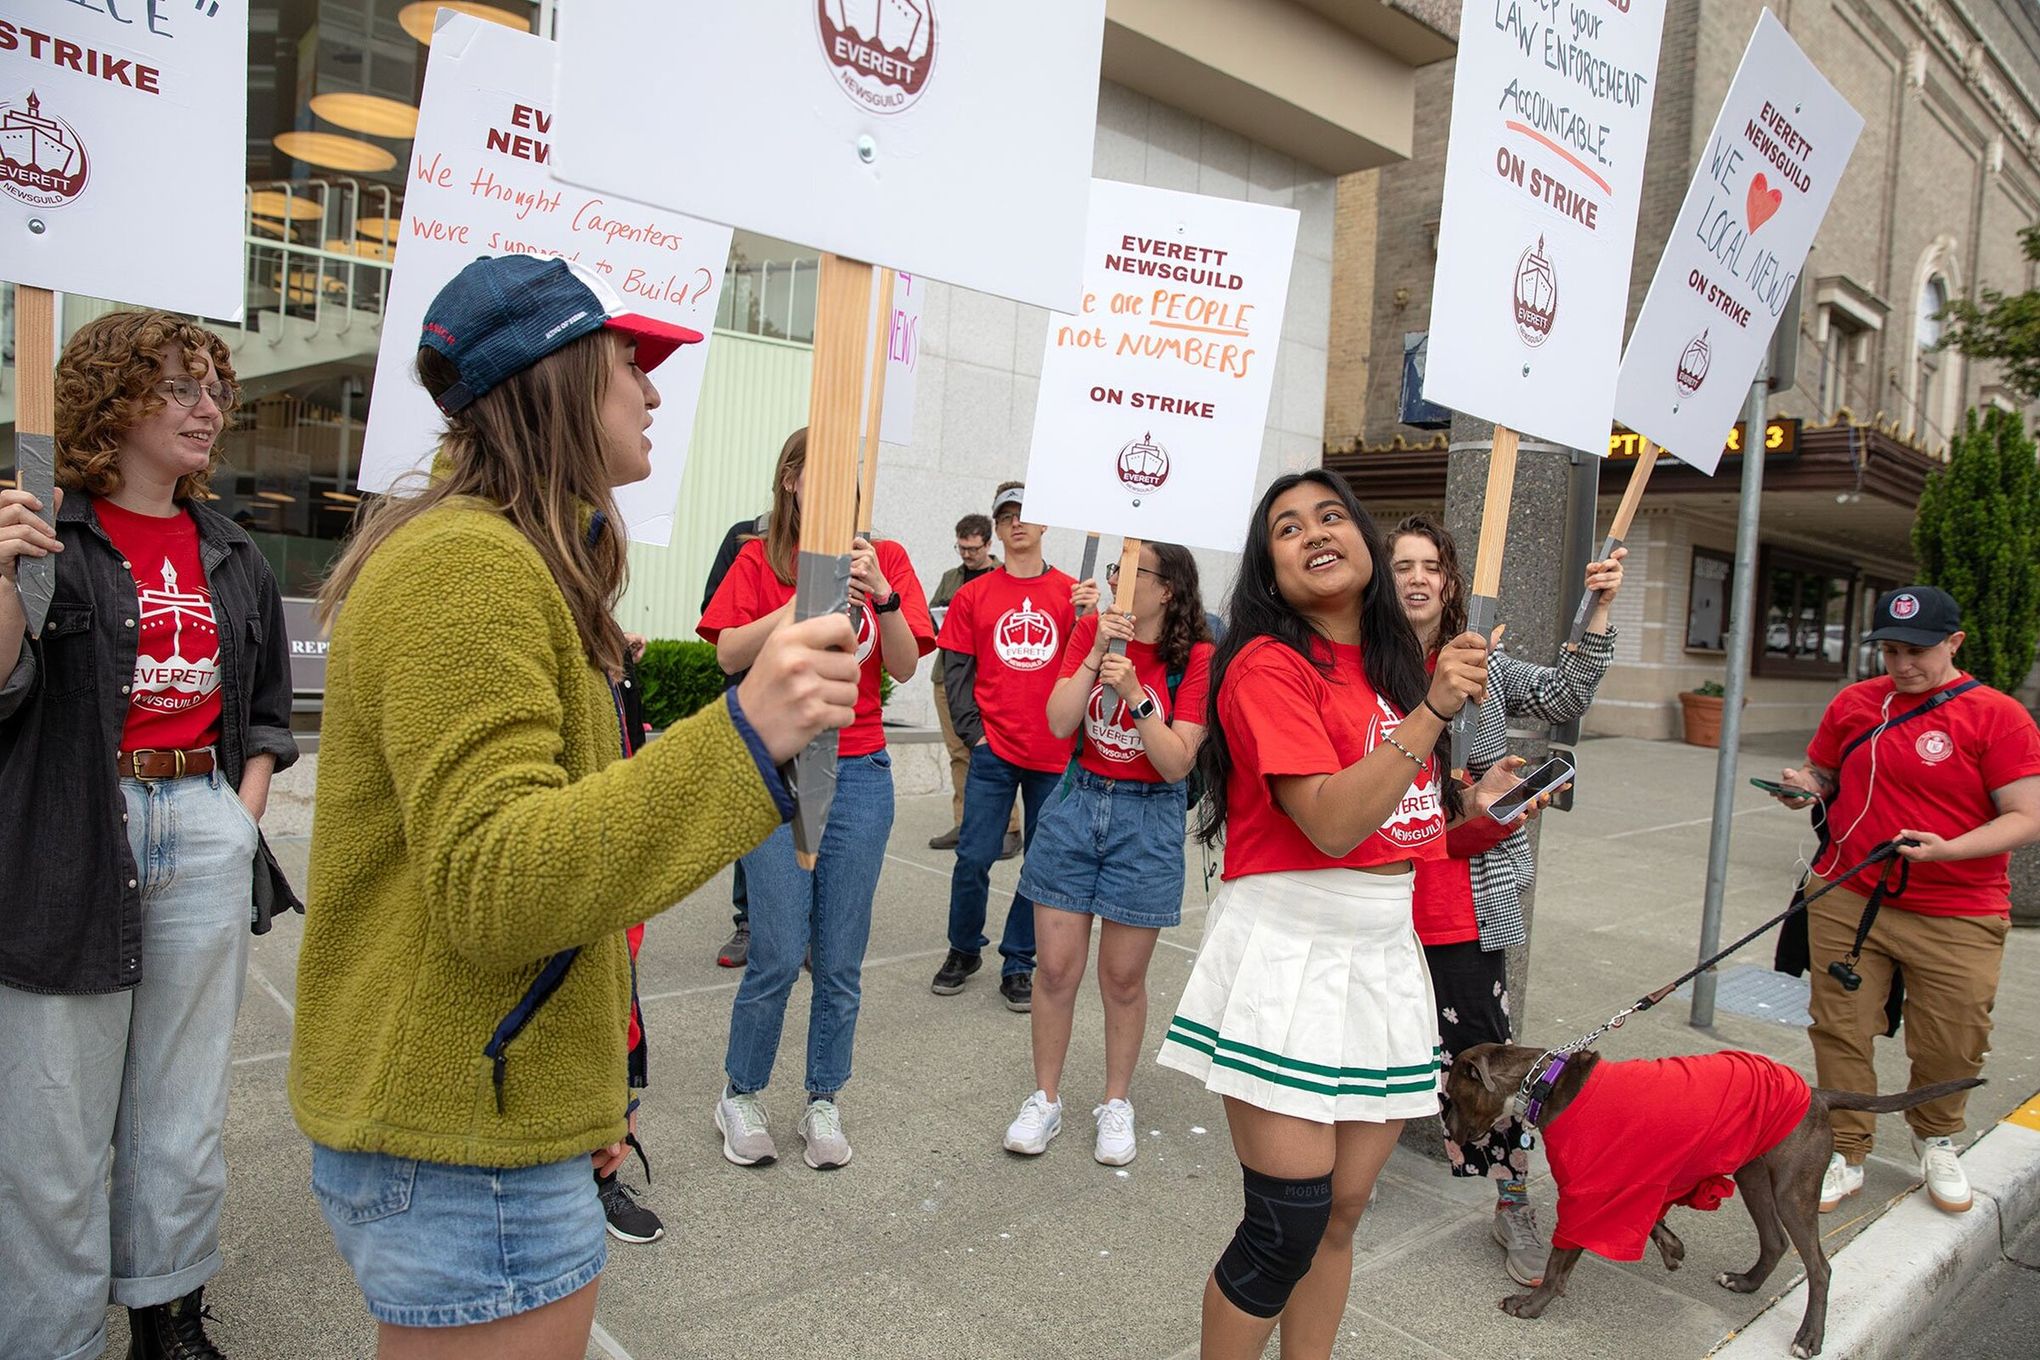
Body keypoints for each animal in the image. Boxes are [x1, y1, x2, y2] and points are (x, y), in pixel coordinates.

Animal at [1444, 1043, 1982, 1353]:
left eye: (1450, 1094)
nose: (1445, 1126)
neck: (1546, 1083)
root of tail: (1818, 1094)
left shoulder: (1590, 1194)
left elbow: (1559, 1264)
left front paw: (1530, 1307)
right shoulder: (1640, 1182)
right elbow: (1652, 1219)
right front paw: (1672, 1248)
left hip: (1792, 1191)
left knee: (1820, 1267)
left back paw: (1809, 1337)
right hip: (1753, 1176)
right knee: (1774, 1242)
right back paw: (1745, 1283)